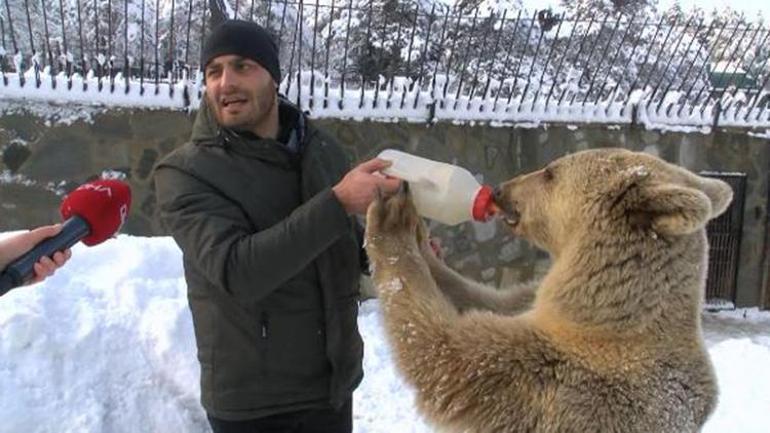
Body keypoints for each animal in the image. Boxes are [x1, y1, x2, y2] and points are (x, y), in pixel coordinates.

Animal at [364, 148, 730, 433]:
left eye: (550, 172)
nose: (499, 191)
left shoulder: (556, 379)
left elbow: (444, 353)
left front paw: (391, 216)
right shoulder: (531, 301)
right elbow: (482, 299)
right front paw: (421, 235)